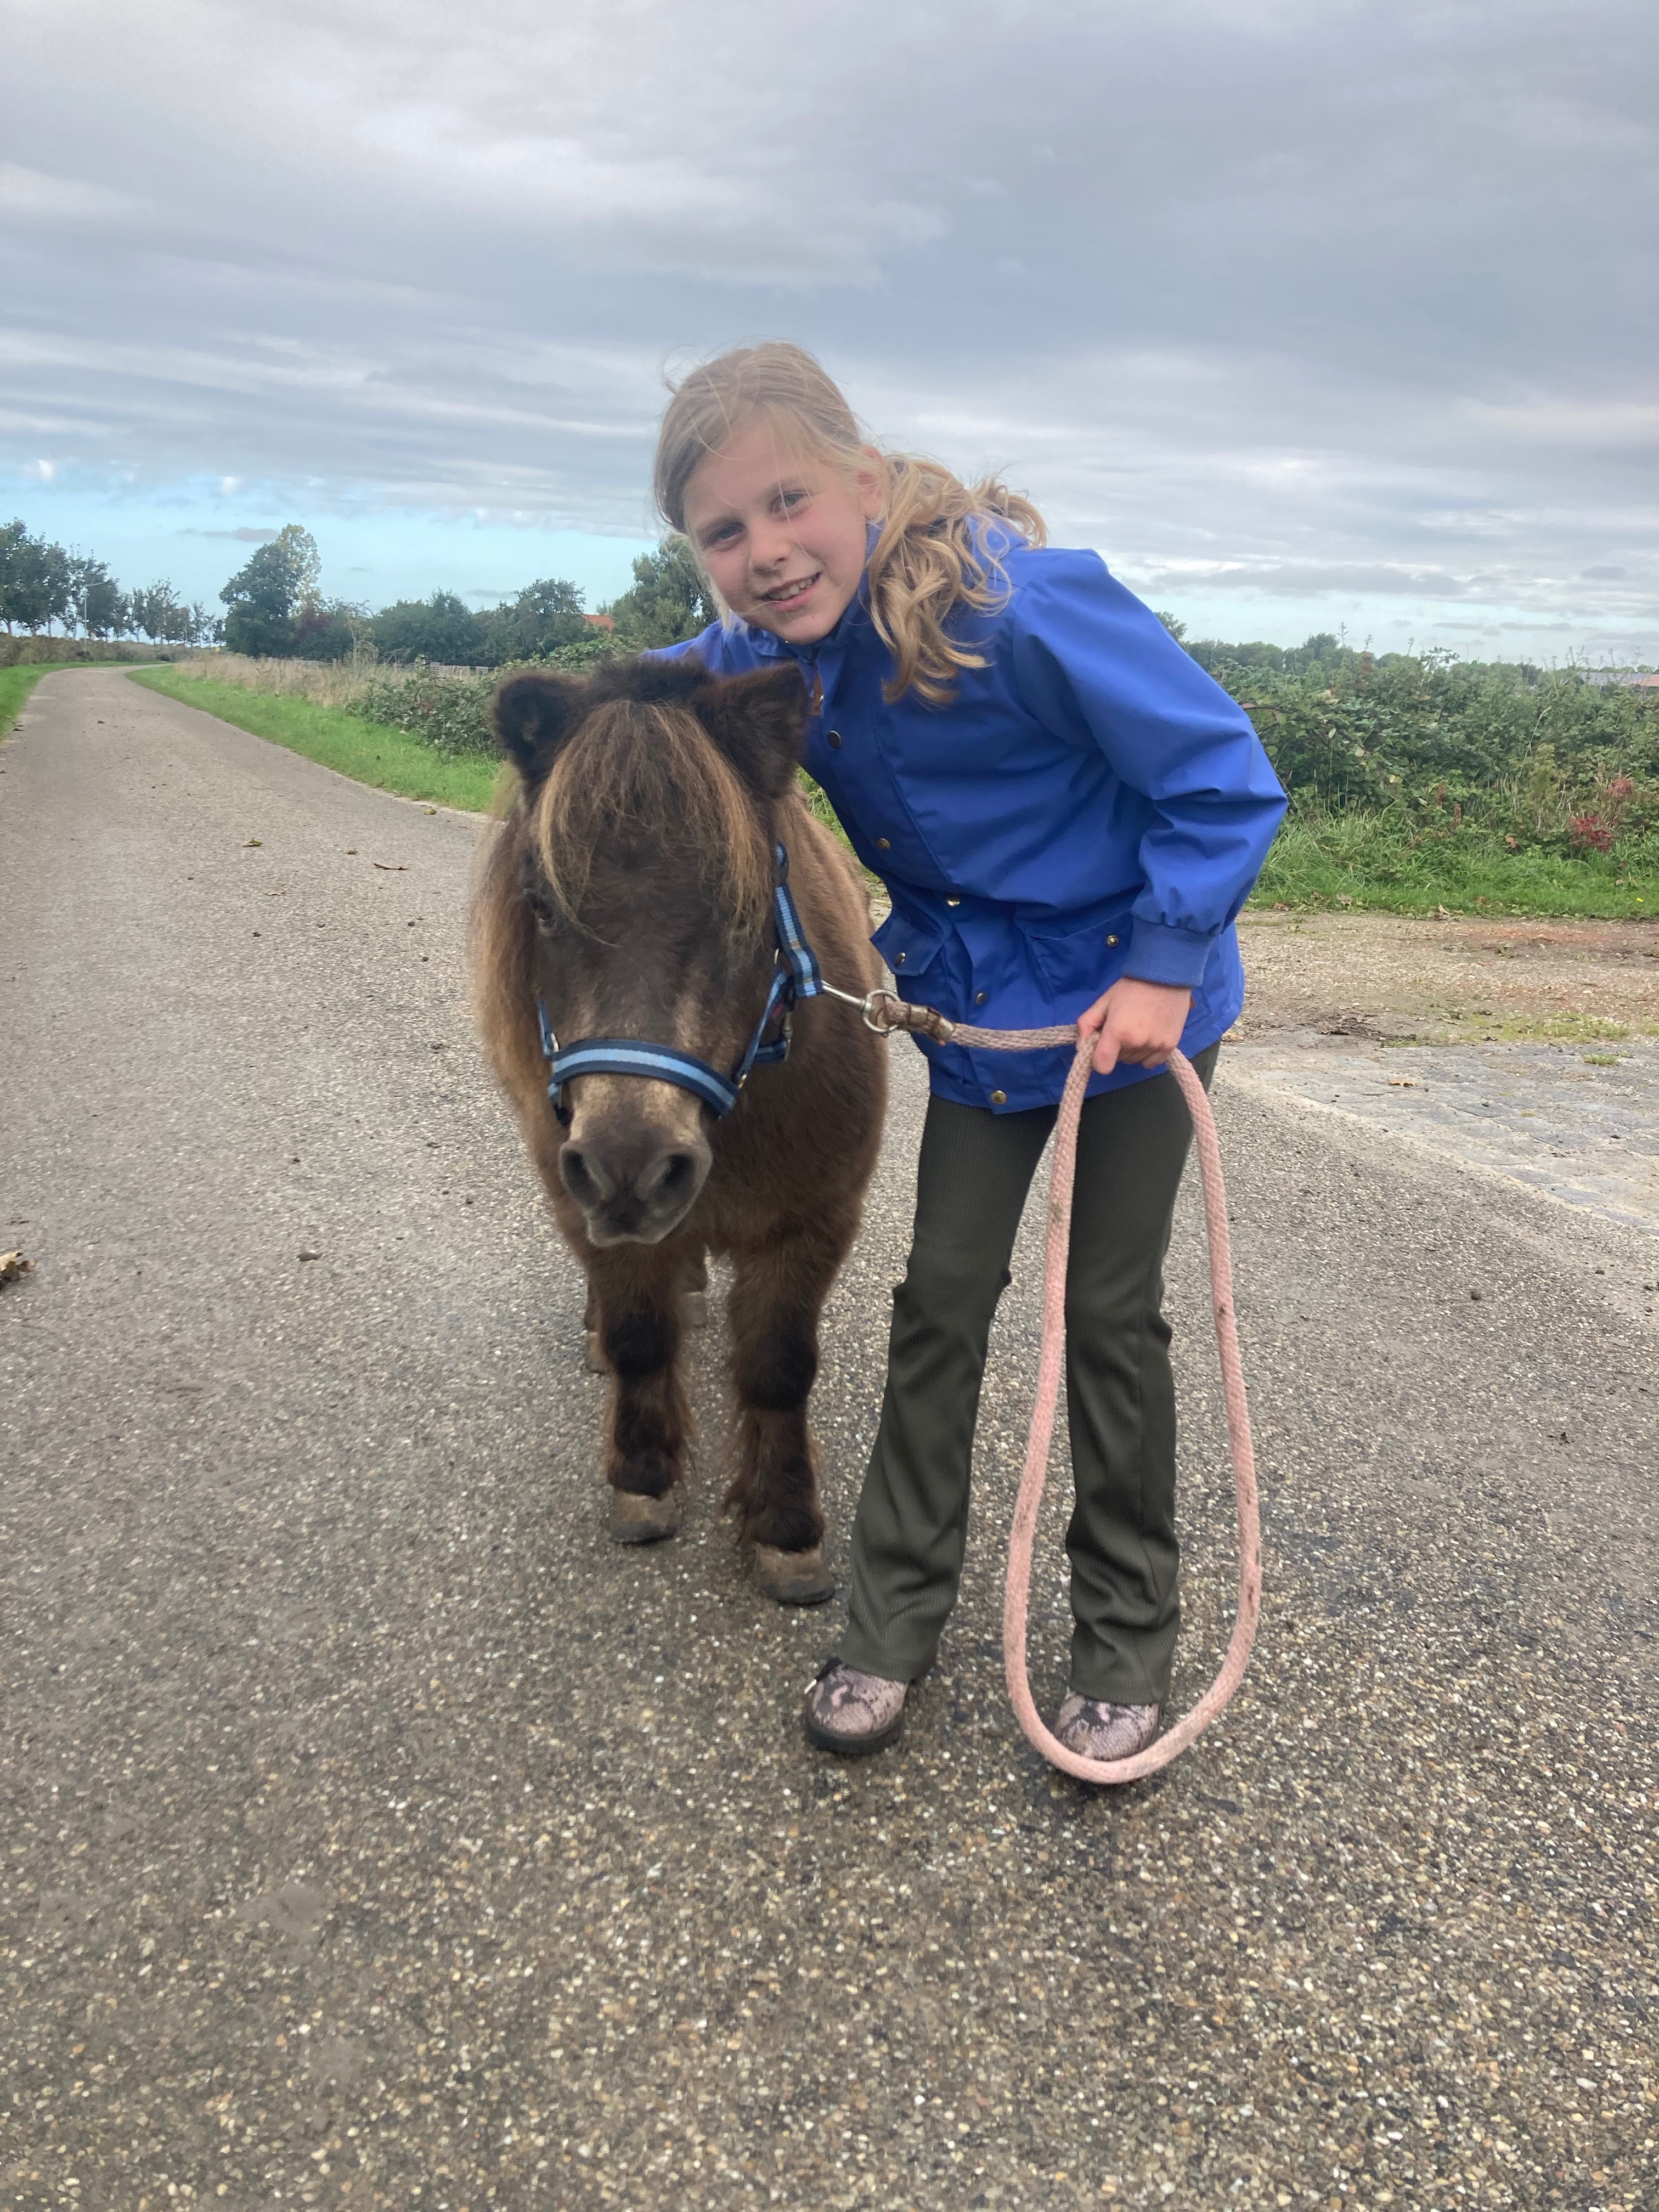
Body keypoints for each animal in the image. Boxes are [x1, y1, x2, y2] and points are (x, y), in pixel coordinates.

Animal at [470, 655, 887, 1604]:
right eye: (542, 906)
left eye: (747, 907)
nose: (630, 1168)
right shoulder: (586, 1204)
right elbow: (639, 1337)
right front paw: (643, 1477)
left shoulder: (812, 1223)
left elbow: (777, 1367)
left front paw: (785, 1527)